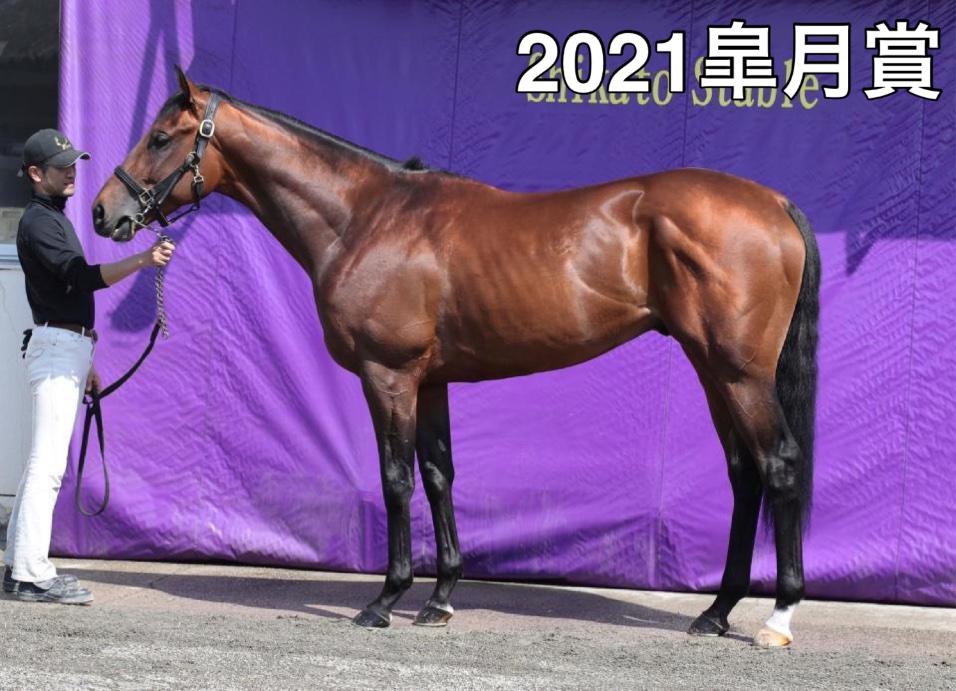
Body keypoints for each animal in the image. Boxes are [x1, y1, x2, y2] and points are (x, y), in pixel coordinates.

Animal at [92, 66, 819, 648]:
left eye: (162, 137)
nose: (103, 213)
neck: (365, 217)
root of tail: (775, 202)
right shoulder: (431, 379)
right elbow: (441, 474)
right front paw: (439, 598)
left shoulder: (388, 375)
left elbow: (396, 479)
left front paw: (385, 599)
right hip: (713, 370)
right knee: (745, 475)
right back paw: (716, 612)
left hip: (738, 372)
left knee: (779, 464)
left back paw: (778, 618)